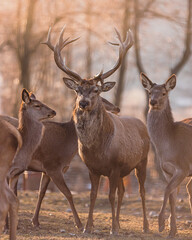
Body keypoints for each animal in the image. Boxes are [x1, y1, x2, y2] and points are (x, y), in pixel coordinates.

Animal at [44, 26, 150, 234]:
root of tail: (142, 124)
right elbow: (93, 195)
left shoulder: (115, 165)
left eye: (96, 90)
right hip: (125, 169)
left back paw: (145, 226)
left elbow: (110, 196)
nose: (83, 103)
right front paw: (88, 227)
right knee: (123, 192)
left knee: (141, 191)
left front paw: (113, 229)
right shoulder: (93, 168)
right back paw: (119, 222)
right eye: (77, 90)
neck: (98, 148)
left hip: (142, 161)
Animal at [140, 73, 192, 238]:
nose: (153, 101)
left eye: (163, 93)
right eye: (150, 92)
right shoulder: (167, 171)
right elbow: (172, 197)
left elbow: (167, 190)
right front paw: (172, 231)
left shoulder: (183, 167)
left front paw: (161, 224)